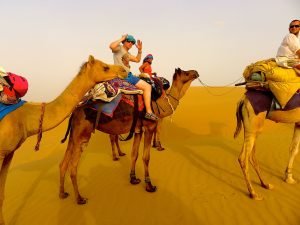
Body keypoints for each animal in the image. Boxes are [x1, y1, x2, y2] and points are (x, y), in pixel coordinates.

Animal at [0, 55, 126, 224]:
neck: (24, 118)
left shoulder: (9, 153)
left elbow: (2, 195)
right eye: (105, 67)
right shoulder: (1, 153)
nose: (124, 70)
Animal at [58, 67, 199, 204]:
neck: (159, 103)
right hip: (82, 135)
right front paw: (149, 185)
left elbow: (134, 154)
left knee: (63, 163)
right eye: (186, 73)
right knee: (73, 167)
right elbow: (146, 157)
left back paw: (63, 193)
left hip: (74, 135)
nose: (196, 72)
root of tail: (74, 112)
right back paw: (80, 198)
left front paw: (133, 178)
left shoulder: (138, 130)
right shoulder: (149, 127)